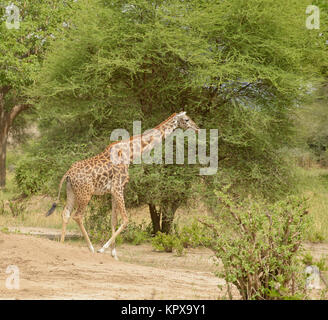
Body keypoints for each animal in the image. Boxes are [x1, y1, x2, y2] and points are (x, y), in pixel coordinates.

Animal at [45, 111, 200, 258]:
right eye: (186, 120)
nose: (197, 128)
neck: (130, 153)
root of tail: (68, 174)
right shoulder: (118, 187)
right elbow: (125, 219)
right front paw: (103, 249)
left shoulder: (113, 191)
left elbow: (113, 220)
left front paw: (114, 254)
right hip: (85, 193)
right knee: (77, 216)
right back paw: (92, 248)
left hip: (71, 191)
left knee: (65, 213)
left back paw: (62, 245)